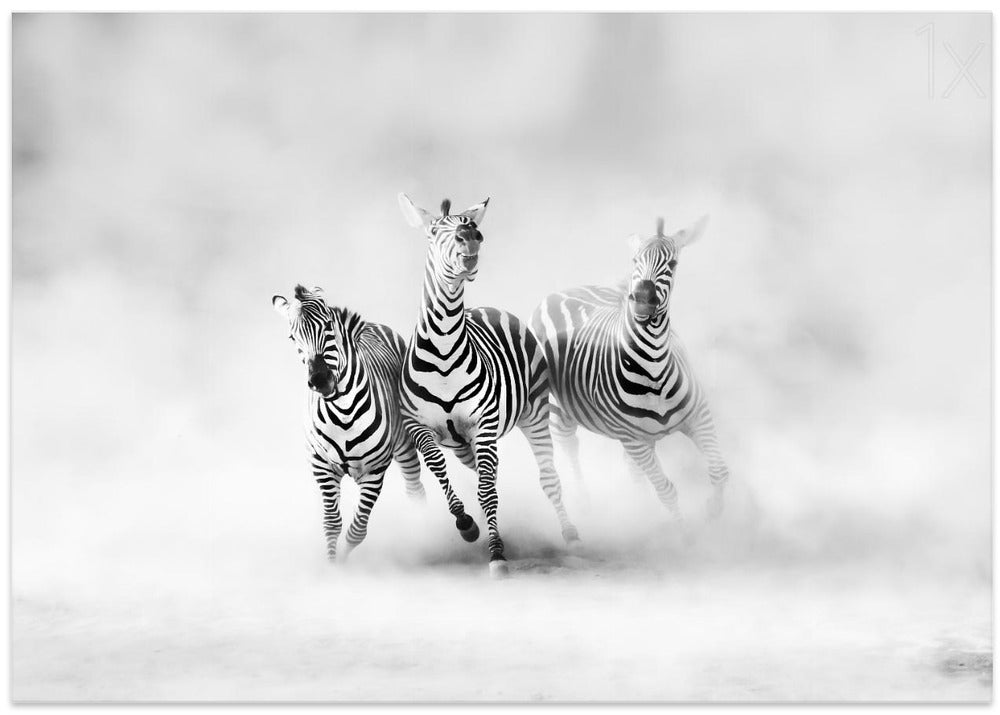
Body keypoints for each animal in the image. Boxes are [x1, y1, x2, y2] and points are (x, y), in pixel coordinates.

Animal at [272, 284, 425, 562]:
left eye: (328, 326)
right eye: (292, 337)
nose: (320, 380)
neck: (343, 411)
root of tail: (373, 325)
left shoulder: (375, 469)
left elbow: (357, 530)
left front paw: (343, 561)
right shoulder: (321, 465)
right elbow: (332, 523)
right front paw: (333, 565)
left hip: (404, 445)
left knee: (415, 489)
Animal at [397, 193, 579, 577]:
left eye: (471, 226)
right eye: (433, 231)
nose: (471, 238)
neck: (443, 350)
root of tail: (490, 308)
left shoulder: (482, 424)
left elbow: (486, 492)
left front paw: (497, 553)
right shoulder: (420, 427)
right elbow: (441, 471)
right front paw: (467, 525)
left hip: (533, 413)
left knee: (547, 476)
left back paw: (570, 534)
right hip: (464, 444)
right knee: (487, 474)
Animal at [530, 216, 730, 522]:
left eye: (673, 264)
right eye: (636, 260)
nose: (642, 298)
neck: (654, 367)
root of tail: (563, 291)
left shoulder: (698, 415)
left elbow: (719, 471)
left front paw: (714, 511)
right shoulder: (633, 438)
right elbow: (667, 491)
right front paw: (685, 532)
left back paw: (640, 505)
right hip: (558, 407)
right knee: (568, 444)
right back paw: (585, 502)